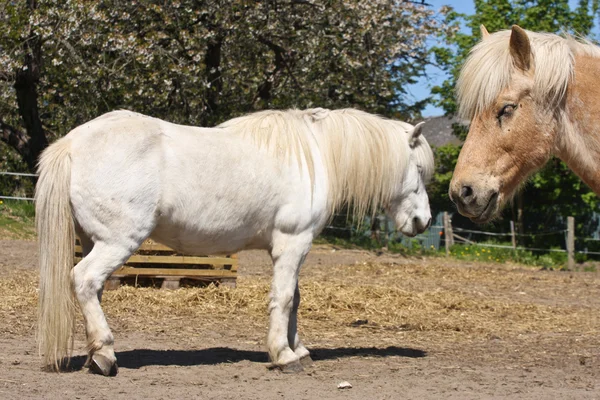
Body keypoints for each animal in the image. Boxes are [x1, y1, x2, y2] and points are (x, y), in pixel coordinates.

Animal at [35, 107, 434, 376]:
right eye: (418, 170)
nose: (424, 221)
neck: (316, 156)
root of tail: (72, 142)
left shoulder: (295, 249)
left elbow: (295, 299)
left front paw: (300, 350)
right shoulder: (293, 244)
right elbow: (284, 299)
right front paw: (283, 355)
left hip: (93, 241)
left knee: (94, 290)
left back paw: (94, 354)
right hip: (117, 242)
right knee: (84, 280)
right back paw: (105, 355)